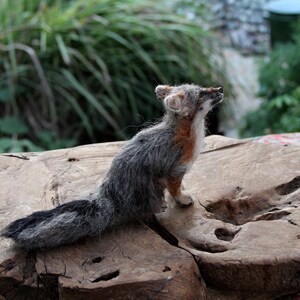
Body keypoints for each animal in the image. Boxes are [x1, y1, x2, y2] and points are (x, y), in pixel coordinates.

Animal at [0, 84, 223, 248]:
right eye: (202, 93)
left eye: (203, 87)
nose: (220, 88)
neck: (184, 132)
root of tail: (109, 196)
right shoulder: (175, 170)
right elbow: (176, 190)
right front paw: (183, 199)